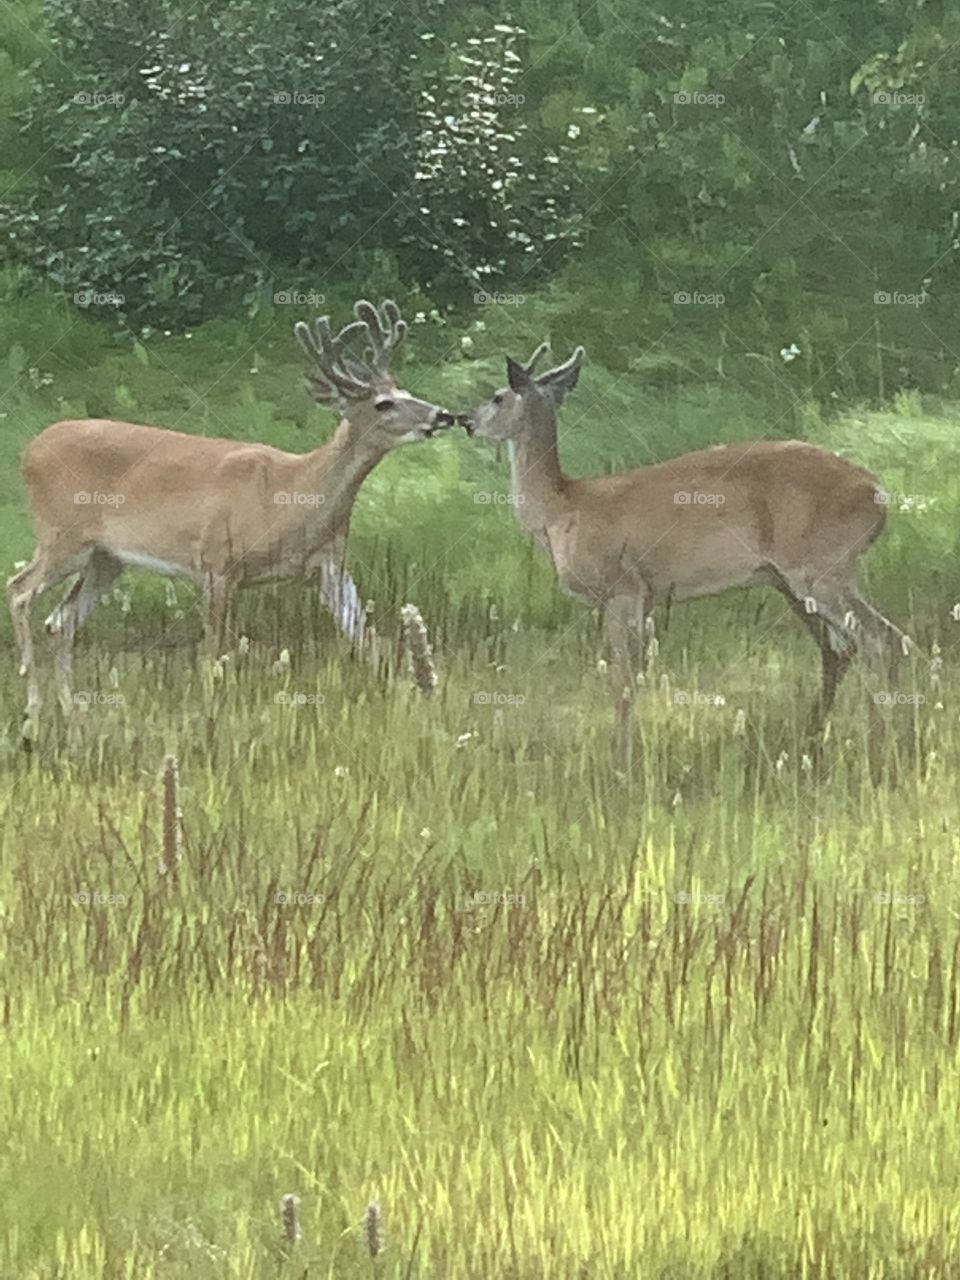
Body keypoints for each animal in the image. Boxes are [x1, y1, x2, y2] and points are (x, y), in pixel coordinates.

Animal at [8, 299, 456, 725]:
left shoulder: (330, 566)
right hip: (62, 535)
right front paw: (212, 718)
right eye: (383, 403)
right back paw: (32, 706)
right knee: (19, 590)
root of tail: (29, 449)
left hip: (106, 558)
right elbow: (212, 656)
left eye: (405, 390)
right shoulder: (217, 563)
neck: (292, 494)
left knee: (62, 619)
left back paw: (71, 710)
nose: (443, 414)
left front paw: (412, 697)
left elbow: (368, 637)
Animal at [458, 343, 911, 732]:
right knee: (843, 649)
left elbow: (622, 685)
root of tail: (878, 493)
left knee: (882, 639)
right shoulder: (646, 598)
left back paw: (882, 740)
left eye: (497, 397)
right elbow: (635, 677)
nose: (466, 420)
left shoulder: (622, 587)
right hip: (793, 580)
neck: (561, 510)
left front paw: (623, 762)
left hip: (821, 567)